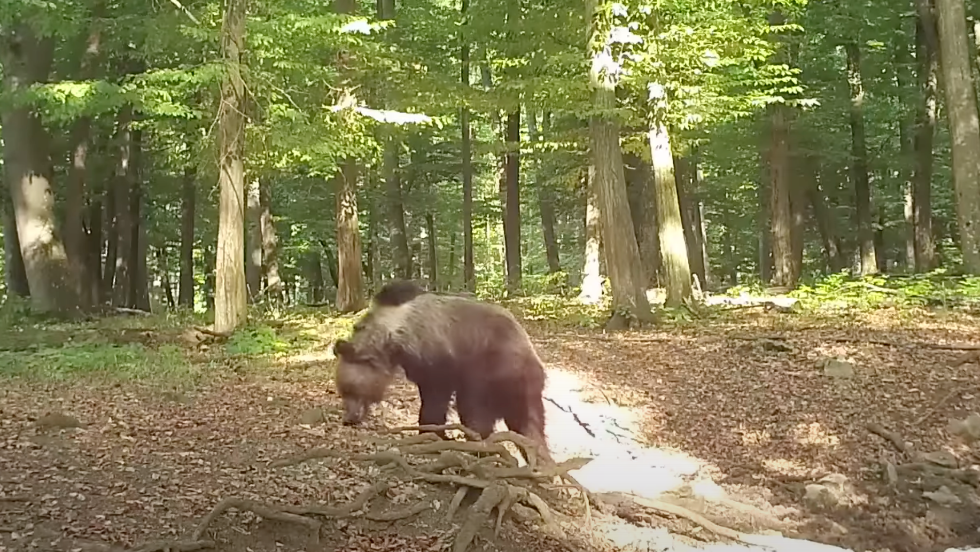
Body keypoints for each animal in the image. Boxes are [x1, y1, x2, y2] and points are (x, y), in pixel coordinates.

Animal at [334, 278, 552, 460]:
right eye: (342, 391)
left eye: (349, 389)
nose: (348, 419)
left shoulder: (438, 356)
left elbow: (436, 399)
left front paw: (430, 432)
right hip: (524, 390)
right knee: (529, 424)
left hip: (496, 368)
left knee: (475, 409)